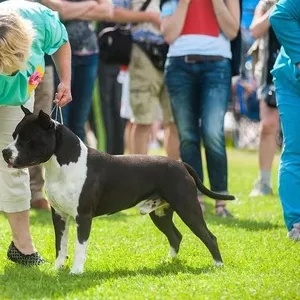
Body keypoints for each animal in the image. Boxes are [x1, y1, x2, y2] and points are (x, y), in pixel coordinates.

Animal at [2, 108, 237, 274]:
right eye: (13, 135)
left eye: (27, 139)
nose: (5, 152)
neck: (63, 164)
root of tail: (181, 164)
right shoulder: (59, 215)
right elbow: (60, 245)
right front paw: (57, 268)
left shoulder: (82, 217)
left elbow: (79, 245)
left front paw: (76, 272)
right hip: (160, 213)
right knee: (175, 236)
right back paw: (167, 262)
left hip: (188, 208)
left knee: (209, 236)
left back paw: (218, 266)